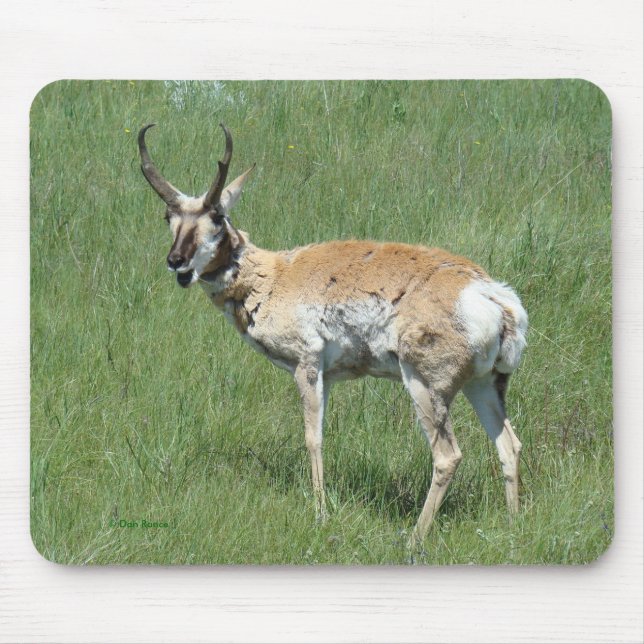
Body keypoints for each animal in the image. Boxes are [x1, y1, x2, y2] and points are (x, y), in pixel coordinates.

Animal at [138, 123, 528, 545]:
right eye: (168, 216)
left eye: (217, 215)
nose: (176, 261)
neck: (274, 276)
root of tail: (491, 295)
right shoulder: (329, 375)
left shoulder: (306, 366)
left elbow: (313, 437)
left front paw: (321, 513)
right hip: (484, 384)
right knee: (509, 445)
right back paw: (512, 526)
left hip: (426, 385)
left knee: (447, 456)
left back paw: (414, 537)